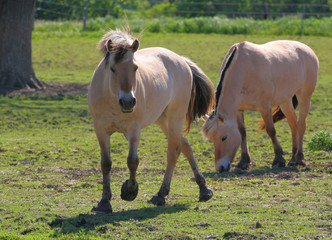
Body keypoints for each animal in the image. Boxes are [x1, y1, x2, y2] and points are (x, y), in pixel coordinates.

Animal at [87, 28, 215, 212]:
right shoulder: (101, 130)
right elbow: (106, 163)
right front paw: (104, 201)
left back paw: (161, 194)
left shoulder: (134, 130)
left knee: (173, 152)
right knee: (185, 146)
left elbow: (132, 161)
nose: (128, 101)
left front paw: (130, 191)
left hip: (175, 118)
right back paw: (203, 190)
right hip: (162, 120)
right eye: (112, 69)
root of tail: (180, 60)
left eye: (135, 68)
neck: (112, 99)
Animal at [202, 40, 320, 172]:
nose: (220, 167)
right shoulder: (238, 109)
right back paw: (293, 158)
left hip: (304, 95)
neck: (244, 71)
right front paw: (244, 161)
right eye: (212, 139)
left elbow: (271, 131)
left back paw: (299, 158)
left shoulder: (265, 108)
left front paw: (278, 159)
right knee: (293, 124)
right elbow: (242, 132)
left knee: (301, 125)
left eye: (224, 137)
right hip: (285, 100)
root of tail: (307, 49)